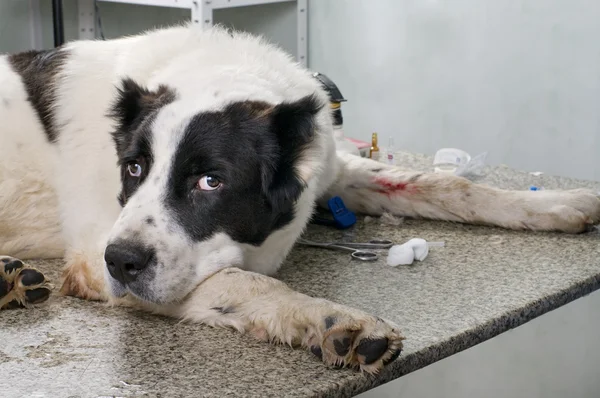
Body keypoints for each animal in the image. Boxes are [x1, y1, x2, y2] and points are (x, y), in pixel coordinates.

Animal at [1, 24, 600, 374]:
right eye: (132, 168)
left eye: (210, 182)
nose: (122, 262)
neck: (217, 71)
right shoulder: (96, 260)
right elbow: (242, 281)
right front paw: (333, 321)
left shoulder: (331, 172)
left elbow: (449, 185)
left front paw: (557, 204)